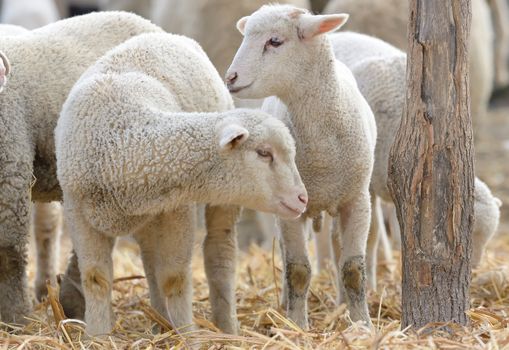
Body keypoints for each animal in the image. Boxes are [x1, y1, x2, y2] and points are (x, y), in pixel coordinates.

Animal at [57, 32, 308, 336]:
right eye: (264, 153)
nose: (302, 198)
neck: (119, 146)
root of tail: (166, 35)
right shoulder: (78, 212)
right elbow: (96, 278)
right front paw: (97, 336)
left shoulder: (178, 209)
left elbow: (174, 278)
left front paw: (188, 336)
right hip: (147, 217)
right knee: (150, 259)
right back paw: (159, 322)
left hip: (219, 203)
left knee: (218, 252)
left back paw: (226, 327)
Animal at [226, 4, 378, 328]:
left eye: (274, 41)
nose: (230, 77)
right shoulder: (292, 207)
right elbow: (297, 270)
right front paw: (297, 324)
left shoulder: (358, 200)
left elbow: (353, 269)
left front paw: (362, 323)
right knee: (287, 256)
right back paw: (286, 303)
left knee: (336, 246)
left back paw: (342, 302)